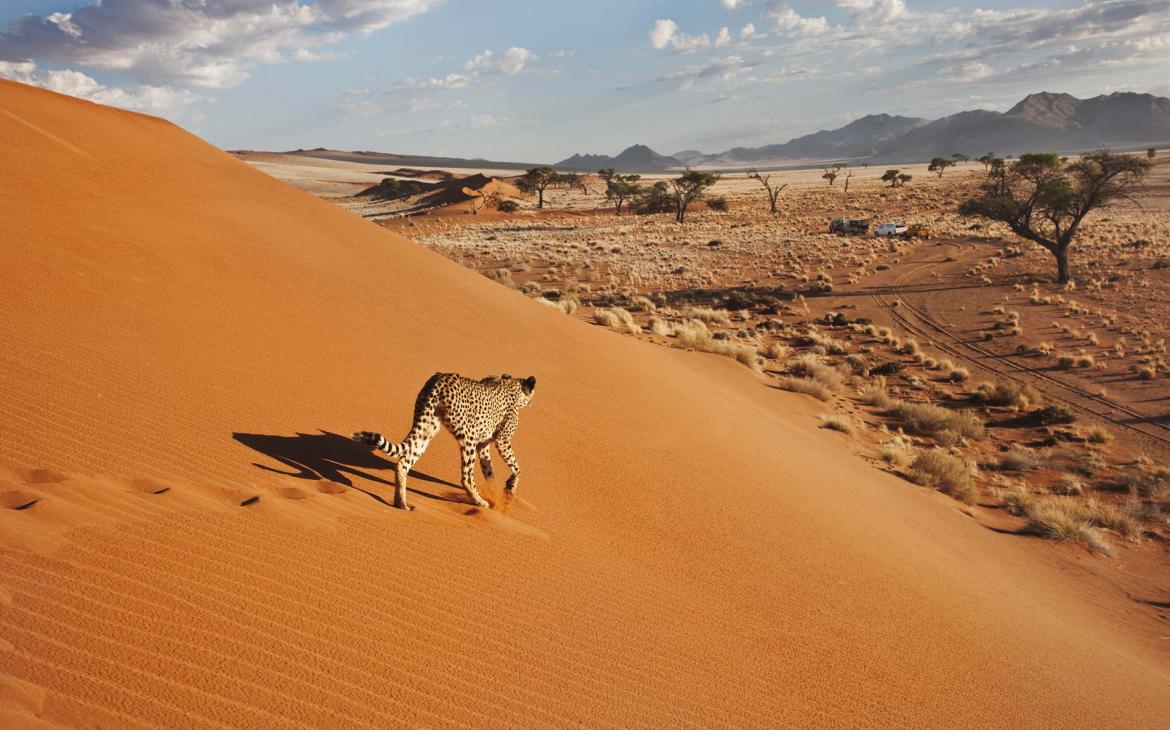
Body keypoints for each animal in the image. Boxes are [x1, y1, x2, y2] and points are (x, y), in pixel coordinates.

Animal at [353, 374, 535, 510]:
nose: (531, 402)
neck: (510, 384)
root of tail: (440, 380)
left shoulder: (483, 445)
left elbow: (489, 471)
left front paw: (495, 492)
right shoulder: (501, 441)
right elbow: (516, 467)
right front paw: (509, 488)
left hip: (427, 429)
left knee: (403, 462)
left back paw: (401, 503)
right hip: (467, 436)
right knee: (466, 476)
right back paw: (480, 502)